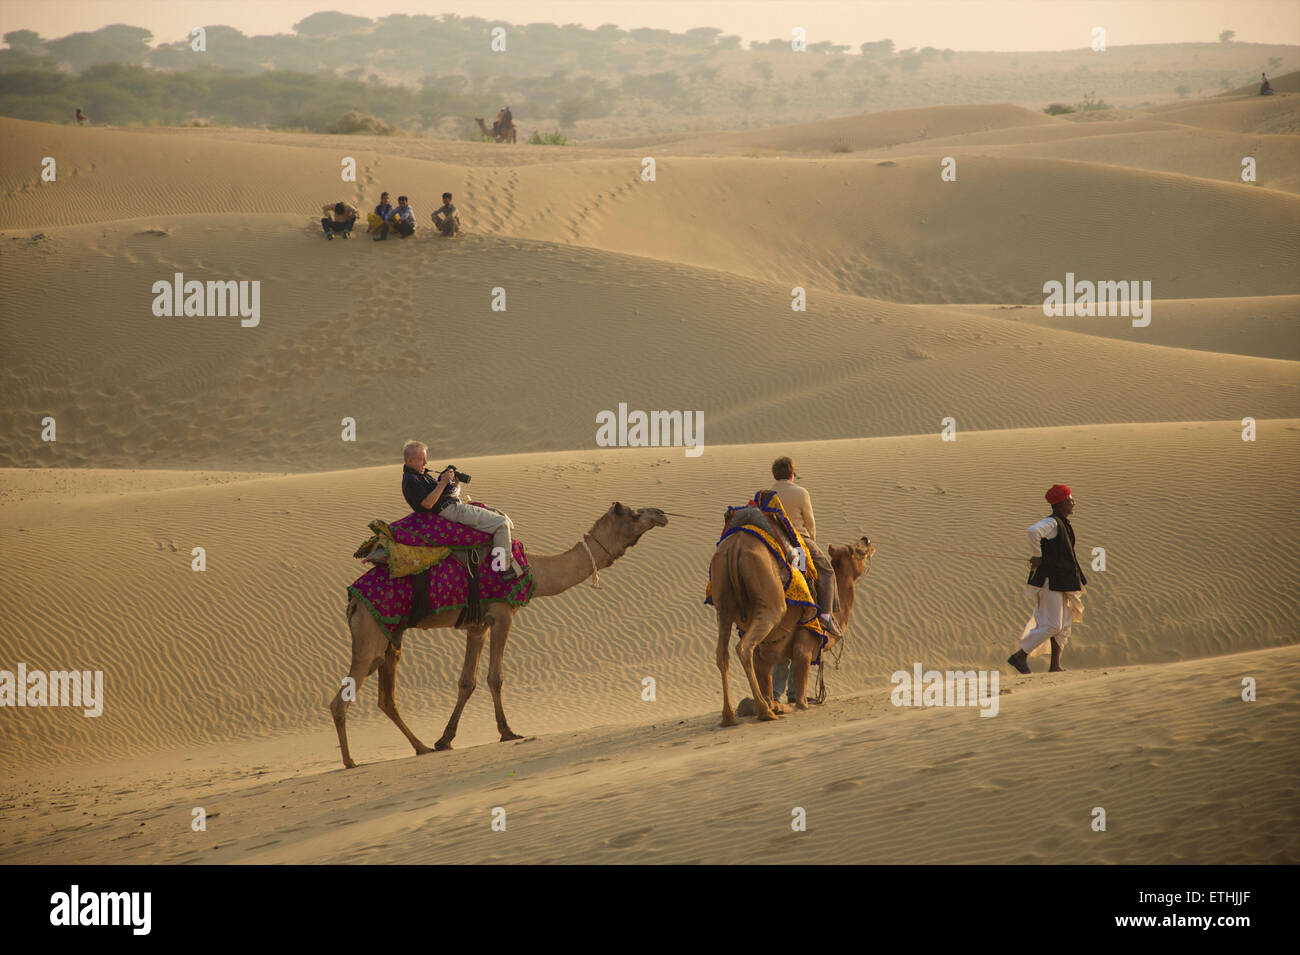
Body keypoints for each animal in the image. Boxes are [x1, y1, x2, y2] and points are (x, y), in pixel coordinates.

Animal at [330, 501, 665, 769]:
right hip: (371, 633)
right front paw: (507, 732)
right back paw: (350, 761)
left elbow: (467, 682)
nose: (661, 513)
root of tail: (353, 600)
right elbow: (495, 677)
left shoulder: (477, 625)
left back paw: (422, 747)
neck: (535, 570)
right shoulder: (503, 614)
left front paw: (445, 739)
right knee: (345, 696)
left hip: (391, 636)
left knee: (387, 697)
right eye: (634, 514)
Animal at [712, 535, 873, 727]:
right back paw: (766, 712)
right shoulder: (804, 647)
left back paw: (729, 716)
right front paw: (774, 706)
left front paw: (764, 703)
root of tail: (735, 546)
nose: (866, 539)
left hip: (724, 607)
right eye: (857, 550)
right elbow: (800, 704)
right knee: (743, 648)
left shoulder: (765, 658)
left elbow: (769, 683)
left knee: (722, 655)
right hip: (770, 606)